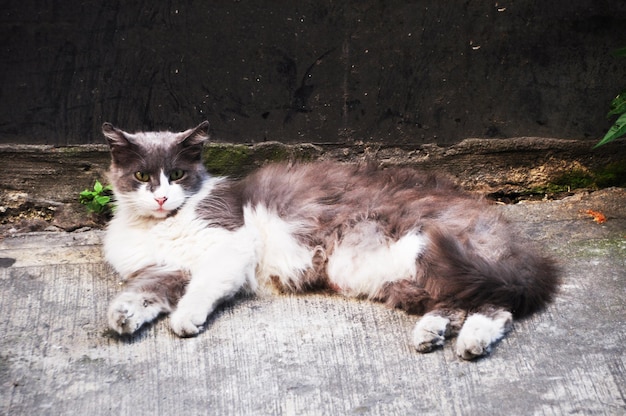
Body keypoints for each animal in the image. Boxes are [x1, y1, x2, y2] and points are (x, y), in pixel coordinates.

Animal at [101, 121, 556, 360]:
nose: (161, 197)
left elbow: (203, 286)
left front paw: (186, 318)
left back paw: (472, 341)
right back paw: (433, 333)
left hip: (425, 252)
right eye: (142, 175)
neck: (161, 226)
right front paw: (122, 315)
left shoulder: (231, 245)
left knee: (498, 305)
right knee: (464, 302)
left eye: (177, 174)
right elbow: (146, 291)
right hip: (404, 276)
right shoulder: (166, 268)